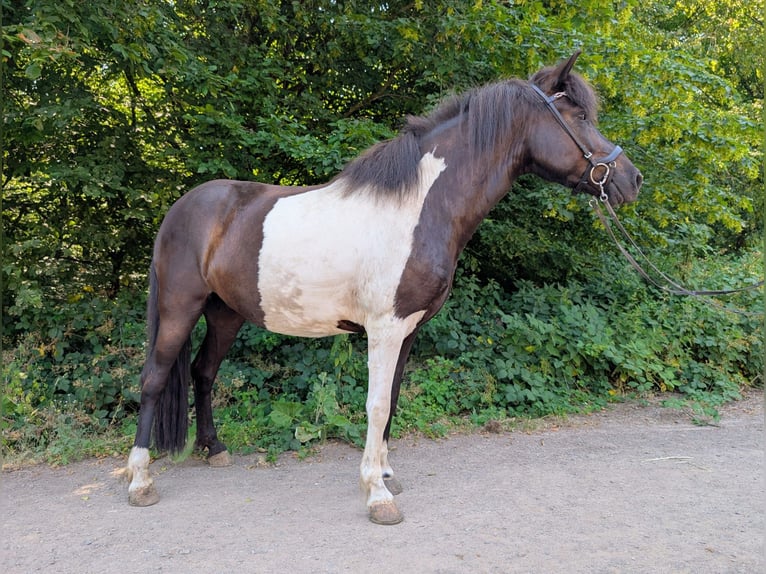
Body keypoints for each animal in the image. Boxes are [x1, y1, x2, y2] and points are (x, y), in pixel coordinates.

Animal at [126, 51, 642, 525]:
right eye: (579, 116)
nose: (630, 179)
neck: (419, 207)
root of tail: (179, 210)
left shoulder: (409, 329)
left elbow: (391, 399)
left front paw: (388, 473)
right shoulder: (385, 328)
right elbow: (374, 404)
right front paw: (377, 494)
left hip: (225, 313)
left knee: (203, 372)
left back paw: (214, 449)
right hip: (179, 308)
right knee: (153, 380)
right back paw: (140, 480)